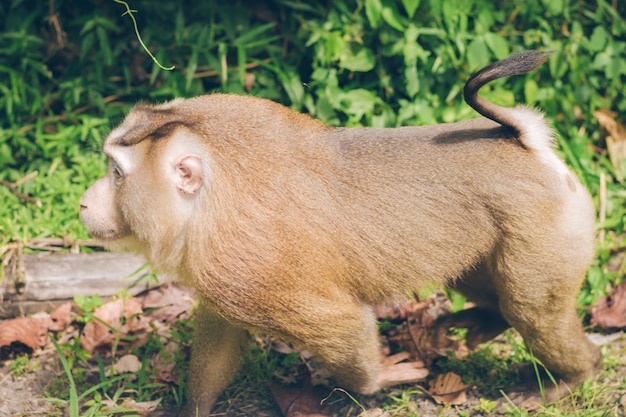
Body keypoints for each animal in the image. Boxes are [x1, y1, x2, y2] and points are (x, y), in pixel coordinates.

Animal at [79, 50, 600, 414]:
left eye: (116, 173)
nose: (85, 202)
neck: (208, 201)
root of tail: (525, 145)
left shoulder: (249, 272)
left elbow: (342, 323)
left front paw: (376, 382)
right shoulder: (224, 270)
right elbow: (222, 331)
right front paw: (194, 408)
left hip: (546, 225)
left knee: (531, 308)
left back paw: (574, 375)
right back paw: (486, 321)